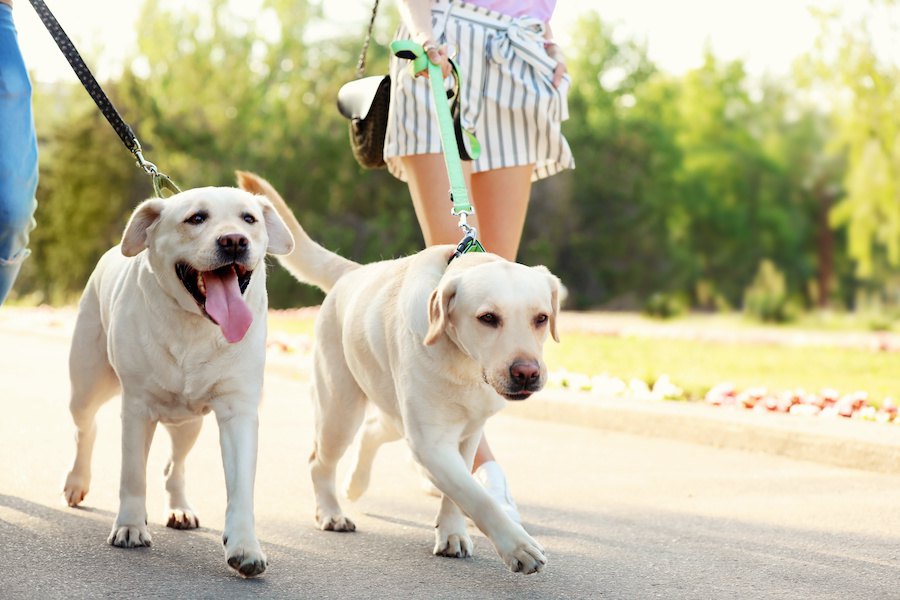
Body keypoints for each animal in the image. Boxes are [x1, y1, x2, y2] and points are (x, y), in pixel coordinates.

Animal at [64, 184, 296, 576]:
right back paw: (78, 483)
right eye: (196, 218)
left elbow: (241, 487)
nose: (234, 241)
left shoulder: (238, 410)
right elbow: (132, 474)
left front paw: (245, 547)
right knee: (87, 429)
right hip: (87, 386)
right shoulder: (137, 408)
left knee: (175, 464)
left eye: (249, 218)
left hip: (188, 423)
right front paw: (129, 526)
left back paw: (180, 510)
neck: (195, 325)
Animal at [239, 171, 564, 576]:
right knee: (320, 460)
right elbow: (476, 497)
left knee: (373, 431)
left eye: (541, 318)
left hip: (392, 413)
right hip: (340, 412)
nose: (526, 373)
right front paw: (517, 546)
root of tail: (354, 272)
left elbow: (459, 494)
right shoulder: (430, 441)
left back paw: (356, 483)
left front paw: (452, 533)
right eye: (488, 318)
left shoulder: (466, 434)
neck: (465, 365)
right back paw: (331, 512)